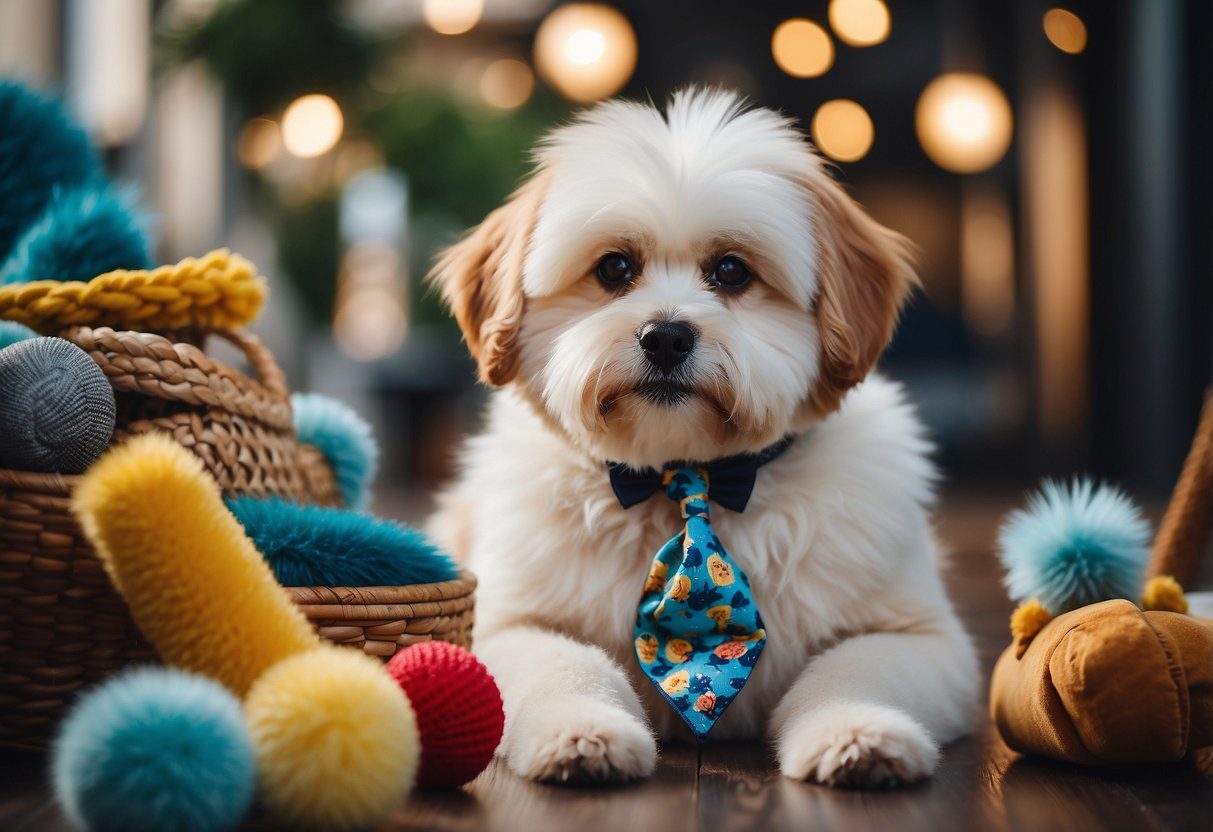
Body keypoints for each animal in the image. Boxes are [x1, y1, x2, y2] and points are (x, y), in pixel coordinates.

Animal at [426, 87, 975, 790]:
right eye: (614, 268)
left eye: (732, 271)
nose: (665, 336)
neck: (690, 481)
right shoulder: (499, 625)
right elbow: (565, 663)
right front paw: (581, 730)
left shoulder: (925, 639)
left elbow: (856, 669)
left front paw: (858, 731)